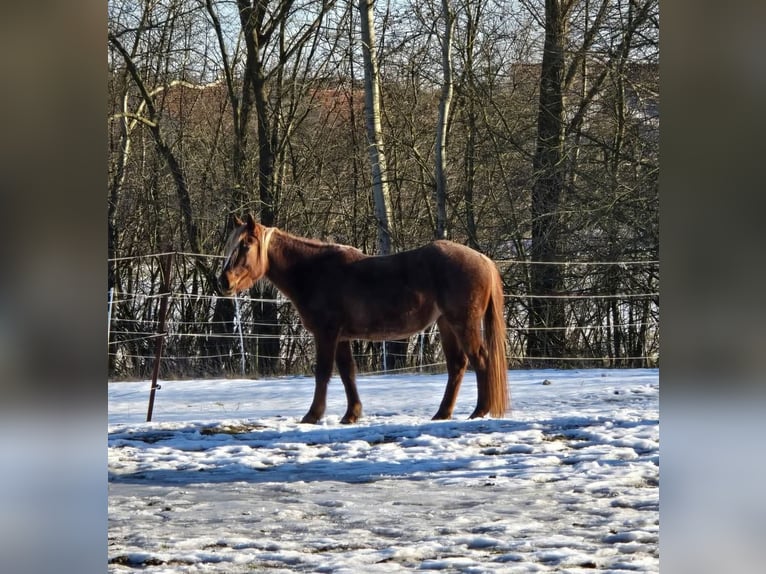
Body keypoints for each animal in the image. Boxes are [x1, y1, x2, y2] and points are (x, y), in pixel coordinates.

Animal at [218, 214, 510, 424]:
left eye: (245, 245)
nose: (223, 282)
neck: (315, 272)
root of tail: (483, 259)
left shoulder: (326, 333)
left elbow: (323, 373)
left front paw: (312, 415)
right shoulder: (341, 337)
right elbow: (348, 373)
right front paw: (351, 415)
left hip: (463, 323)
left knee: (480, 360)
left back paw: (479, 411)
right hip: (446, 324)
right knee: (457, 365)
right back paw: (442, 414)